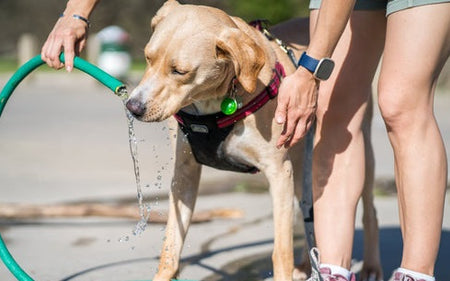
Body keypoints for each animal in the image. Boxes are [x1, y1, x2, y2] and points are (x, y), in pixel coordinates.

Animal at [126, 1, 384, 278]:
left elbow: (281, 251)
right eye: (147, 58)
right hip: (305, 165)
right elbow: (171, 244)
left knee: (369, 210)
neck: (216, 105)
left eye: (180, 71)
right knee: (309, 212)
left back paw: (371, 266)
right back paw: (307, 266)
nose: (133, 106)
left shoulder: (279, 172)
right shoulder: (184, 173)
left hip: (356, 152)